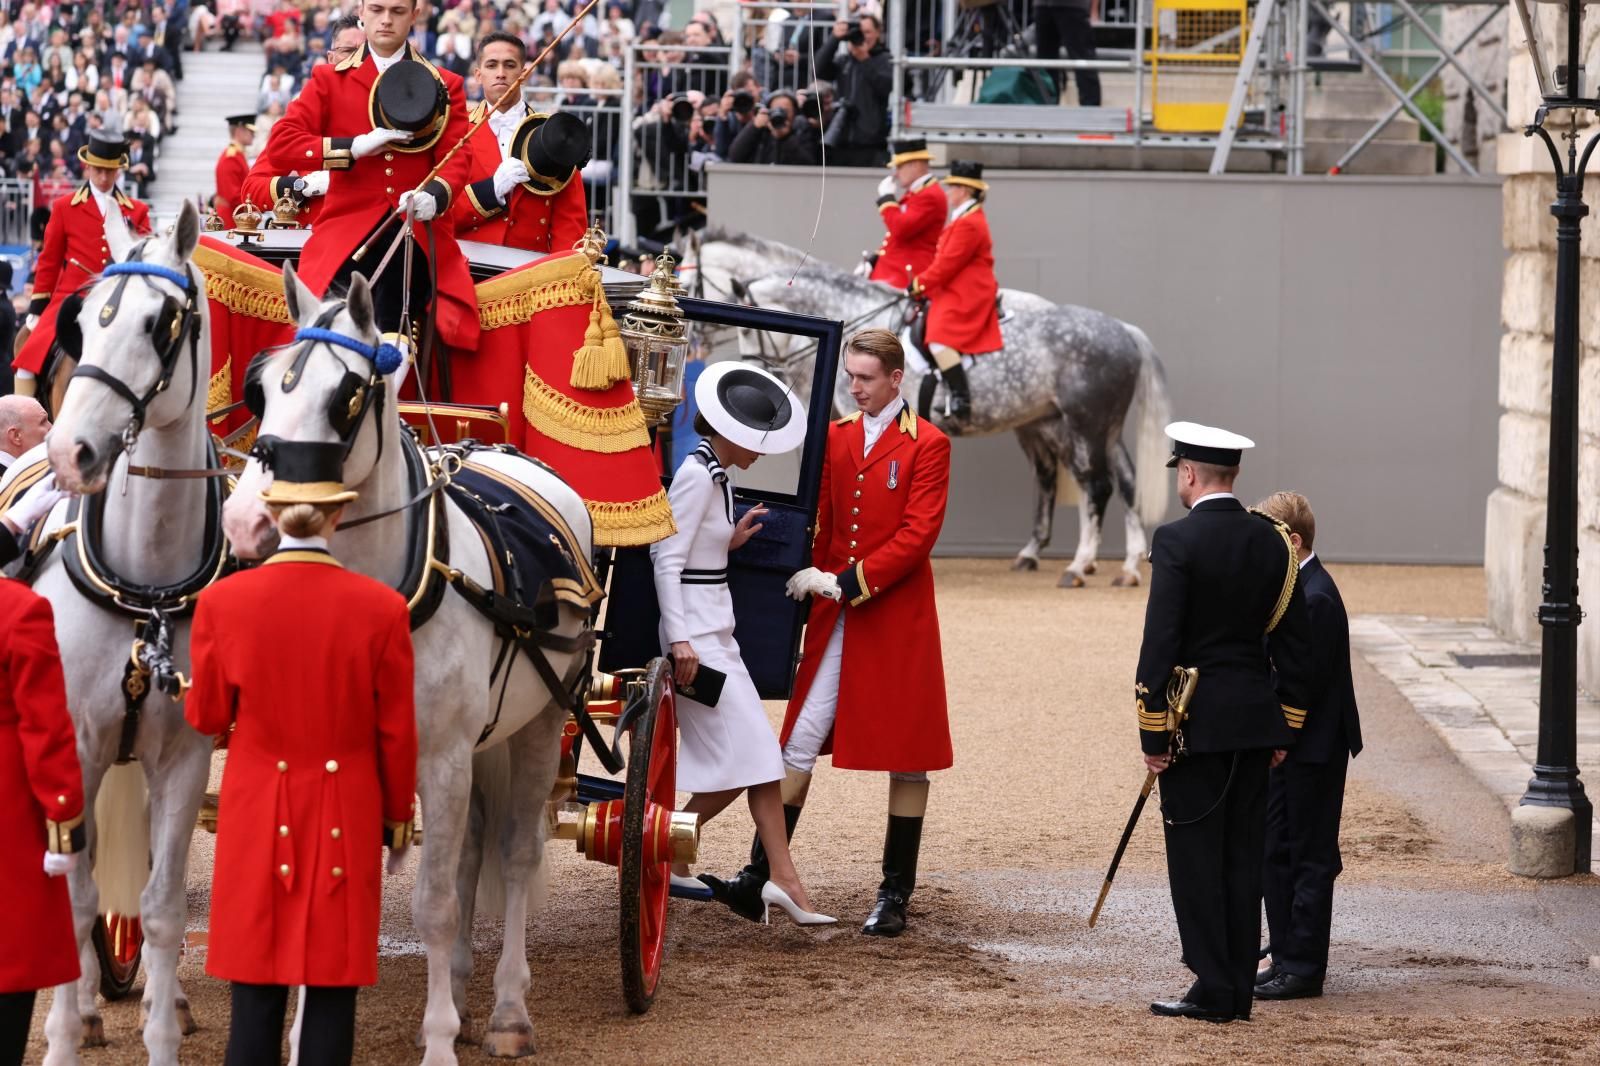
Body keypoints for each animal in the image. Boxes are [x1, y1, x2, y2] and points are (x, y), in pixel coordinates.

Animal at [222, 260, 598, 1056]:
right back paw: (457, 981)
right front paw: (303, 1036)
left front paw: (437, 1041)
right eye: (261, 388)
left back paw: (506, 1011)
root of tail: (500, 452)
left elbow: (434, 902)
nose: (248, 519)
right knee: (471, 852)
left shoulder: (444, 757)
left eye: (346, 394)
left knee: (514, 852)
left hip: (537, 725)